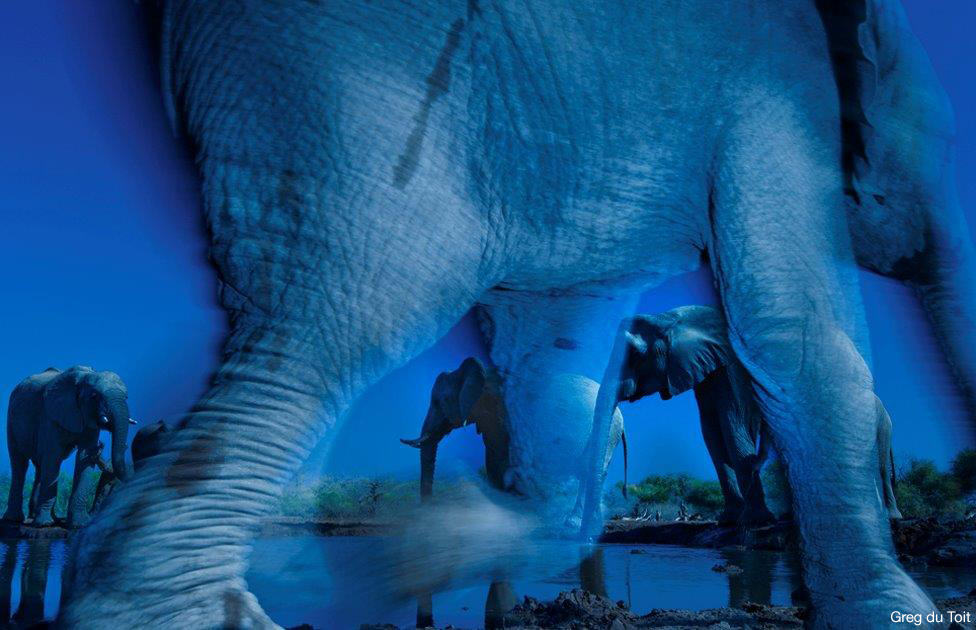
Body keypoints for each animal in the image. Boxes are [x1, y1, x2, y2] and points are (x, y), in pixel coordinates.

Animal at [3, 366, 133, 527]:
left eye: (126, 397)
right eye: (95, 396)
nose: (101, 447)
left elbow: (84, 456)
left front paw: (79, 524)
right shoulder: (50, 416)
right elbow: (52, 457)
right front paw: (44, 524)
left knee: (40, 466)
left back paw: (42, 518)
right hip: (11, 421)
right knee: (20, 464)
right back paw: (15, 519)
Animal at [62, 1, 974, 627]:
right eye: (936, 144)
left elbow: (556, 370)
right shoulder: (781, 86)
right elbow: (795, 329)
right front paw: (897, 616)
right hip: (340, 84)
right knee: (344, 316)